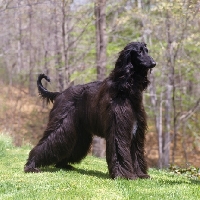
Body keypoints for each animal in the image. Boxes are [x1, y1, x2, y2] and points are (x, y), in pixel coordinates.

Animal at [24, 42, 156, 180]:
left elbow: (136, 153)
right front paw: (123, 175)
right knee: (48, 141)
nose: (154, 62)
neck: (126, 88)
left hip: (79, 132)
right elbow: (119, 150)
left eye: (147, 50)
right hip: (61, 124)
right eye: (139, 52)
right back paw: (31, 165)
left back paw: (63, 165)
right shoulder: (118, 127)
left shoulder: (136, 130)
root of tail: (60, 93)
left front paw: (140, 174)